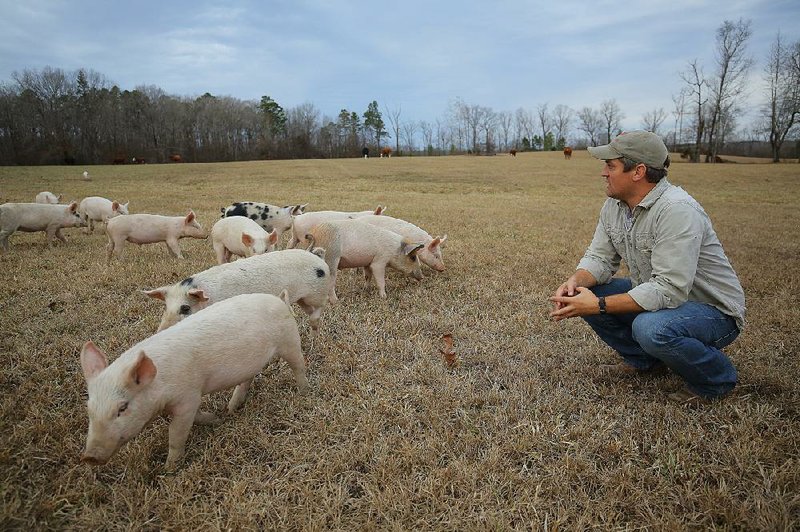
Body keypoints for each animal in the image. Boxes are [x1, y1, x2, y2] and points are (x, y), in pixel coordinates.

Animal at [79, 290, 310, 470]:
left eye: (122, 408)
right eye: (89, 409)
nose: (89, 457)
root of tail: (279, 299)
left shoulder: (187, 397)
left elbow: (176, 434)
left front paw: (169, 469)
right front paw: (218, 418)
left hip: (290, 340)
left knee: (299, 365)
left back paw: (303, 392)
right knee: (247, 379)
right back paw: (231, 408)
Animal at [145, 248, 330, 332]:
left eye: (185, 308)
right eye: (166, 308)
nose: (160, 332)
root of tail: (318, 257)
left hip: (317, 293)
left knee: (322, 306)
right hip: (302, 298)